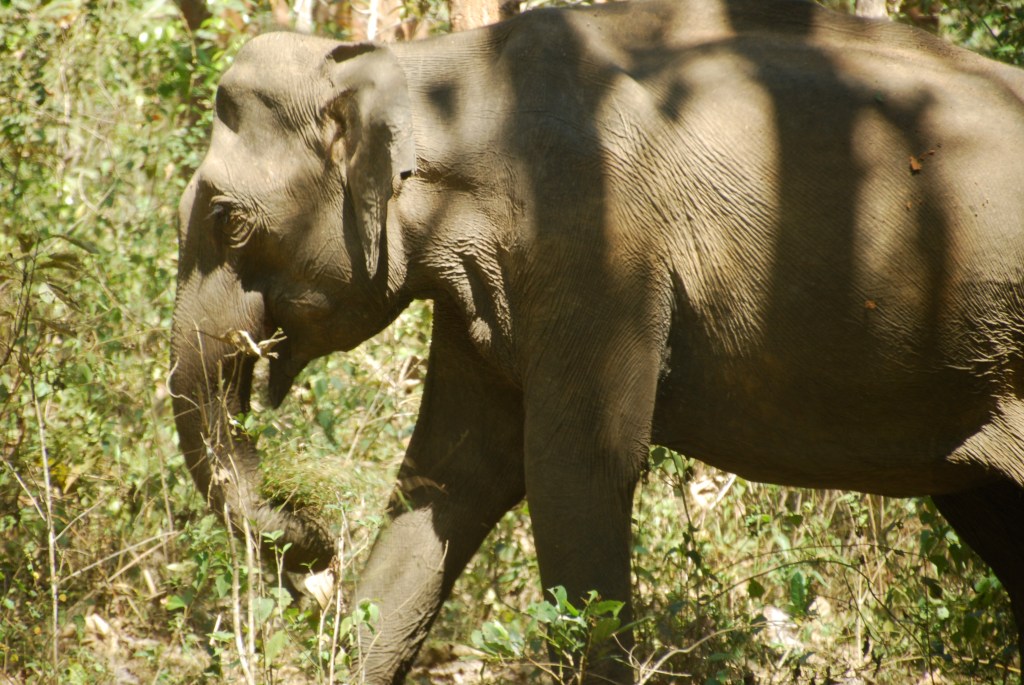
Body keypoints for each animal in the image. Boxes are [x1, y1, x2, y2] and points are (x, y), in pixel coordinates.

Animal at [169, 0, 1024, 682]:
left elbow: (573, 473)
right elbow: (446, 478)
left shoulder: (600, 243)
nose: (312, 548)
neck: (440, 75)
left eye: (229, 221)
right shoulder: (485, 297)